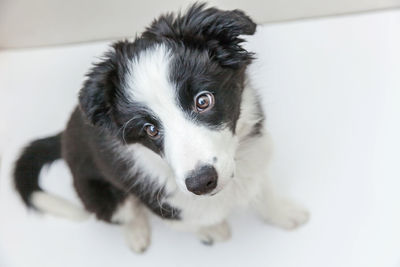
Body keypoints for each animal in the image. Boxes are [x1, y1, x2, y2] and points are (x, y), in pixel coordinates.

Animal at [11, 2, 306, 253]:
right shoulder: (163, 202)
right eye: (150, 130)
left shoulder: (256, 151)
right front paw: (212, 230)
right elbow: (190, 221)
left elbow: (263, 190)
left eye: (203, 101)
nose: (201, 183)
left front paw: (283, 213)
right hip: (100, 195)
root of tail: (64, 135)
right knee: (123, 213)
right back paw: (136, 232)